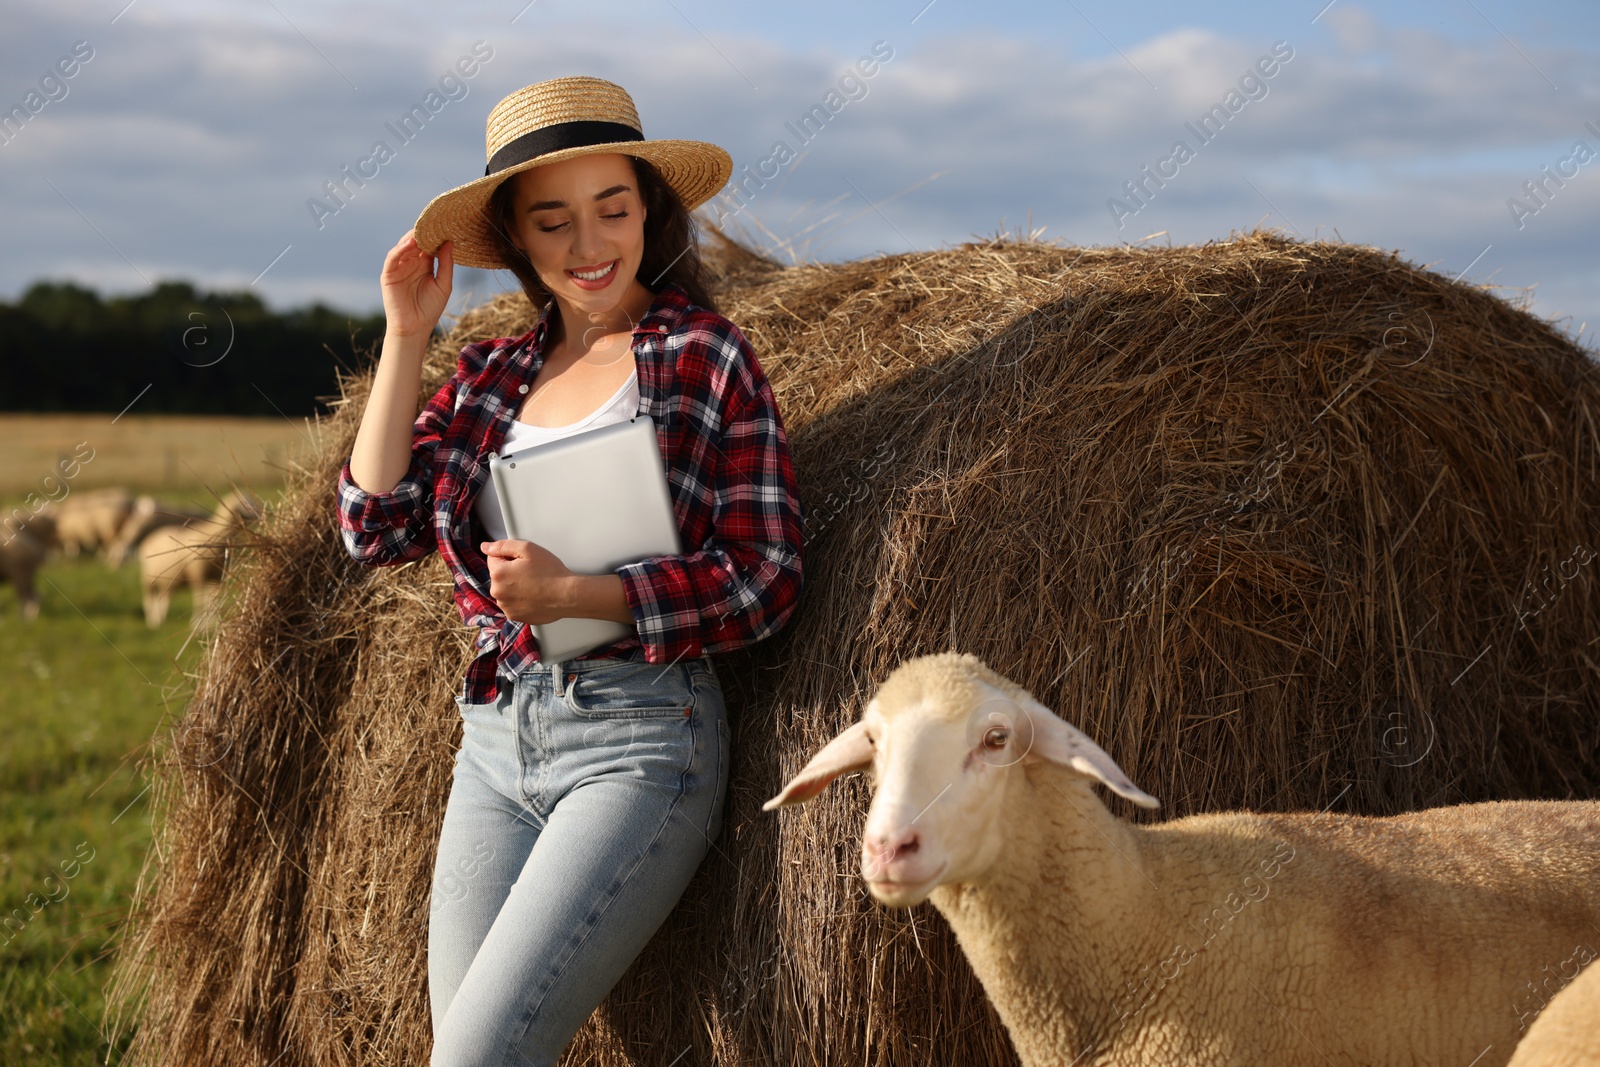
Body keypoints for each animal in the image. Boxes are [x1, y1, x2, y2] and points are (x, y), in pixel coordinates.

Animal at [136, 489, 259, 630]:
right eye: (243, 502)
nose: (257, 514)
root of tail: (151, 537)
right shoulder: (197, 574)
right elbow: (199, 601)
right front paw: (196, 623)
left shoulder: (217, 576)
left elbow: (212, 600)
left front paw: (212, 623)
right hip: (147, 579)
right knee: (148, 599)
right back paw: (152, 621)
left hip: (166, 579)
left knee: (162, 598)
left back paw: (159, 618)